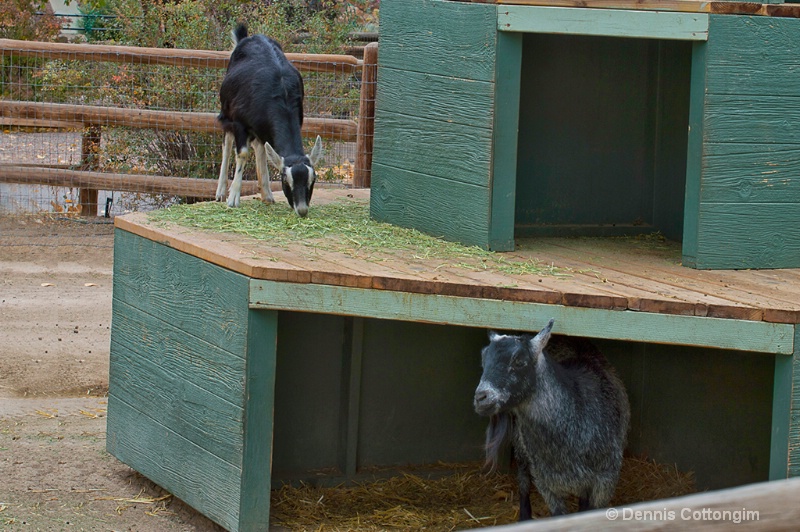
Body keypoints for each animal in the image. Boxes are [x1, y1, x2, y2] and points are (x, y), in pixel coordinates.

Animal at [217, 22, 324, 218]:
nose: (302, 209)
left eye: (313, 179)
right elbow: (242, 154)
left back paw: (266, 193)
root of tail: (248, 37)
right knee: (227, 143)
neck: (281, 93)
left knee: (260, 147)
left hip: (259, 127)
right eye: (285, 179)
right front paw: (233, 198)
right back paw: (220, 192)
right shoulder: (239, 122)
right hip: (226, 112)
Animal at [472, 320, 628, 520]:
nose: (481, 398)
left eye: (519, 361)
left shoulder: (605, 480)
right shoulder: (547, 484)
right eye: (484, 360)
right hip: (521, 447)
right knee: (523, 479)